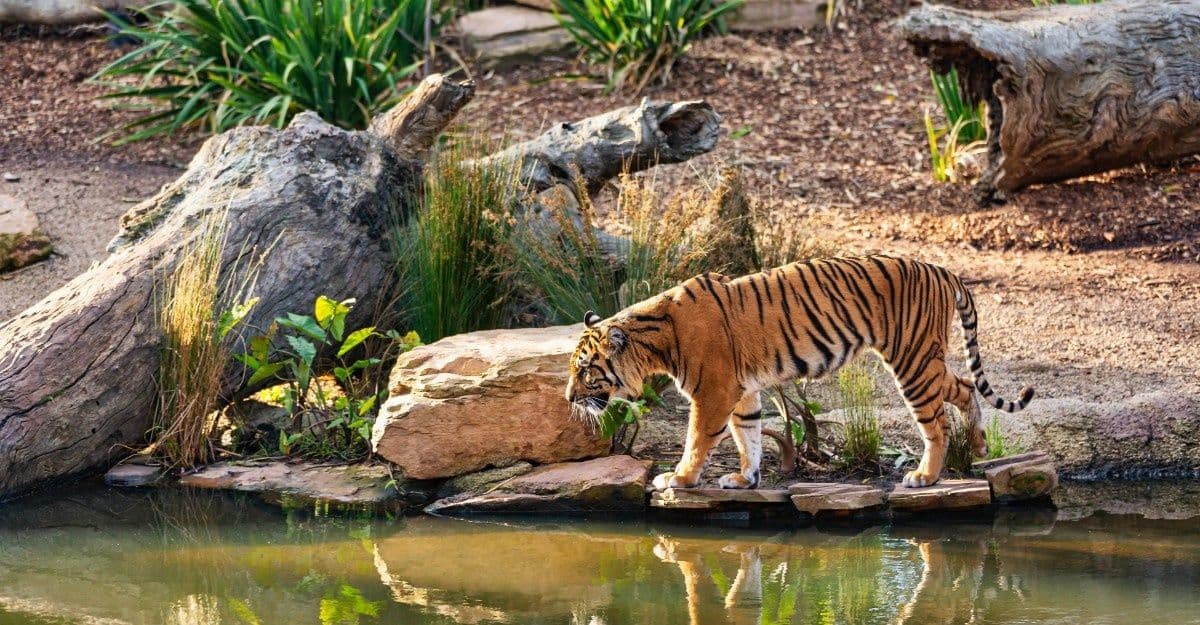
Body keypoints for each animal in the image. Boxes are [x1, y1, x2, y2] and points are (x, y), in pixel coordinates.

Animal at [565, 254, 1033, 490]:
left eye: (586, 371)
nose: (568, 398)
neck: (656, 338)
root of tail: (940, 268)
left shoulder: (713, 392)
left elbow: (697, 440)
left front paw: (678, 478)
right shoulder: (742, 392)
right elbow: (749, 436)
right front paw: (745, 478)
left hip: (912, 360)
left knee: (935, 423)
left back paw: (925, 475)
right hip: (927, 360)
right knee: (966, 386)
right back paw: (978, 444)